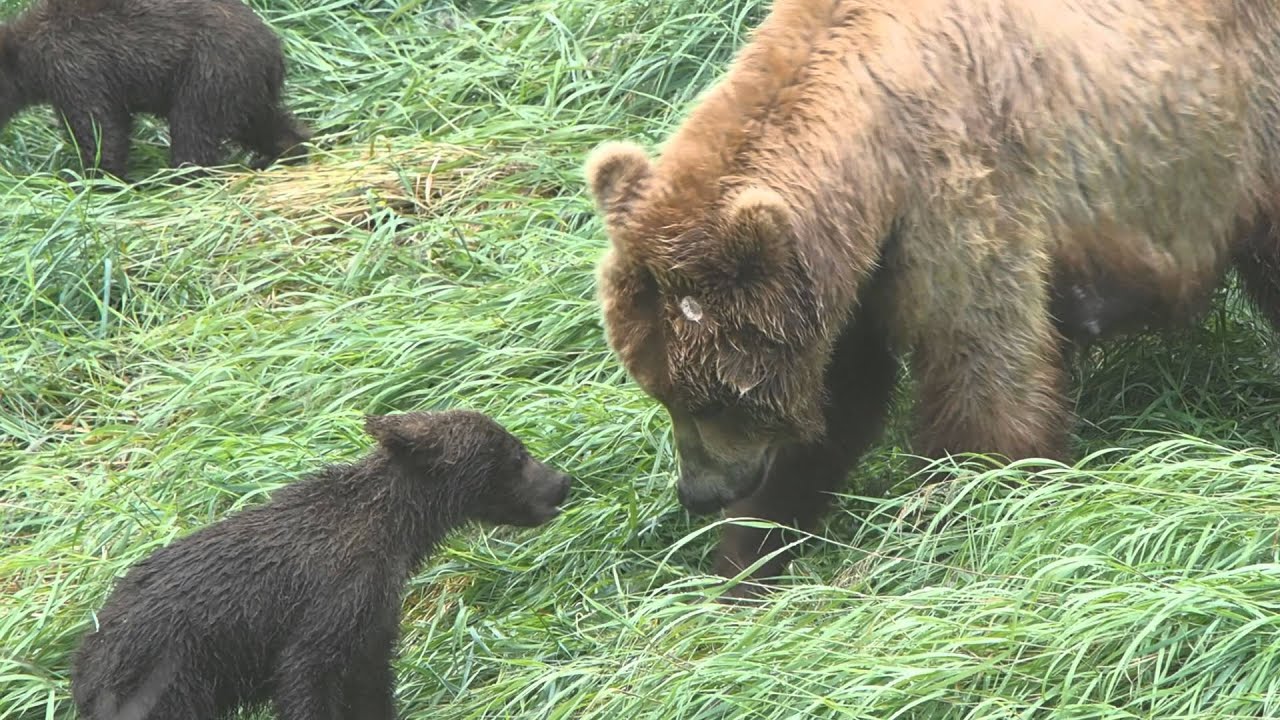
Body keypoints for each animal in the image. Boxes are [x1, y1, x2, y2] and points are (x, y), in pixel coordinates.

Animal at [0, 0, 311, 181]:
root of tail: (273, 48)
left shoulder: (76, 68)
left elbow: (101, 130)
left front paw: (97, 178)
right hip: (243, 87)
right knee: (264, 123)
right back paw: (286, 151)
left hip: (208, 70)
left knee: (192, 130)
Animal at [71, 410, 573, 720]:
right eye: (517, 453)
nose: (562, 482)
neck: (395, 533)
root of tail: (84, 656)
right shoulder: (333, 597)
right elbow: (308, 675)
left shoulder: (374, 614)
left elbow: (371, 680)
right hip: (164, 680)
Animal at [583, 0, 1280, 597]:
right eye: (658, 389)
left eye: (716, 397)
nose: (699, 492)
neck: (872, 159)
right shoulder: (855, 282)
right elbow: (839, 402)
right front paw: (745, 564)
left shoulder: (957, 193)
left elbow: (984, 380)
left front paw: (961, 524)